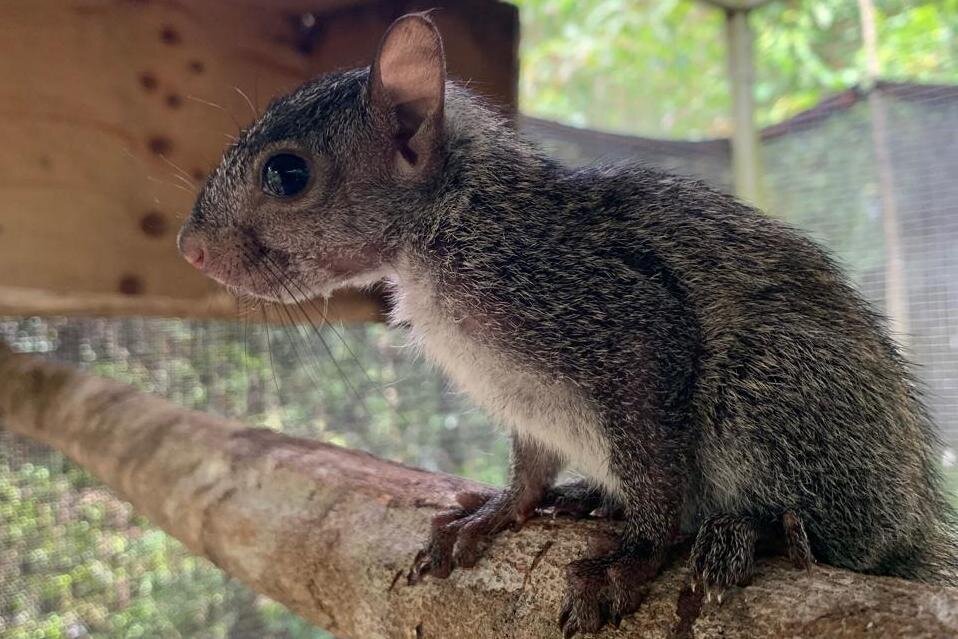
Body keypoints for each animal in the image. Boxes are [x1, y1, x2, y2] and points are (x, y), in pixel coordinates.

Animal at [177, 13, 958, 636]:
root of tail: (915, 517)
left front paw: (638, 549)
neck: (448, 227)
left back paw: (758, 529)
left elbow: (653, 458)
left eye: (287, 174)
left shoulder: (610, 310)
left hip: (776, 389)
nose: (189, 250)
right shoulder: (521, 395)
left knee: (841, 536)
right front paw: (500, 509)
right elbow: (529, 462)